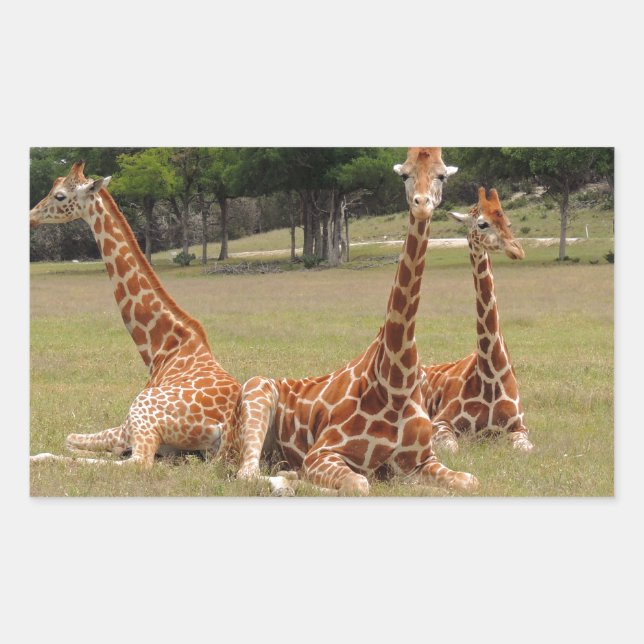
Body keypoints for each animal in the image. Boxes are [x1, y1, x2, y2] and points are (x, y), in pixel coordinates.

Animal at [29, 161, 243, 468]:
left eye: (59, 195)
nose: (31, 216)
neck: (162, 348)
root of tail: (225, 427)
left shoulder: (125, 426)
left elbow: (69, 438)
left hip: (142, 413)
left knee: (137, 462)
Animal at [234, 148, 479, 495]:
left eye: (441, 175)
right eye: (405, 174)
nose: (421, 204)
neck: (395, 384)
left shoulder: (421, 460)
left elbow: (470, 481)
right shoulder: (321, 453)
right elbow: (359, 484)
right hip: (257, 393)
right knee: (247, 474)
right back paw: (288, 480)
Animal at [421, 187, 534, 452]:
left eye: (508, 221)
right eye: (482, 223)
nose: (517, 250)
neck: (491, 374)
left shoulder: (520, 428)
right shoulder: (440, 422)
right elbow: (452, 448)